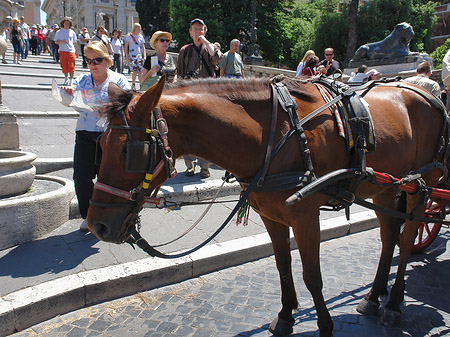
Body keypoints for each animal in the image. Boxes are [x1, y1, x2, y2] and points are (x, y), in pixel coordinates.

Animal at [87, 77, 446, 336]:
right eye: (100, 144)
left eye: (129, 152)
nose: (97, 225)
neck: (277, 135)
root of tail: (429, 93)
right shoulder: (272, 216)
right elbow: (283, 267)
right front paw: (286, 316)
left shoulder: (305, 218)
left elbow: (312, 275)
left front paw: (325, 326)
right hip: (388, 188)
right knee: (388, 239)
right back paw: (373, 297)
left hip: (422, 187)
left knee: (407, 236)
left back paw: (394, 303)